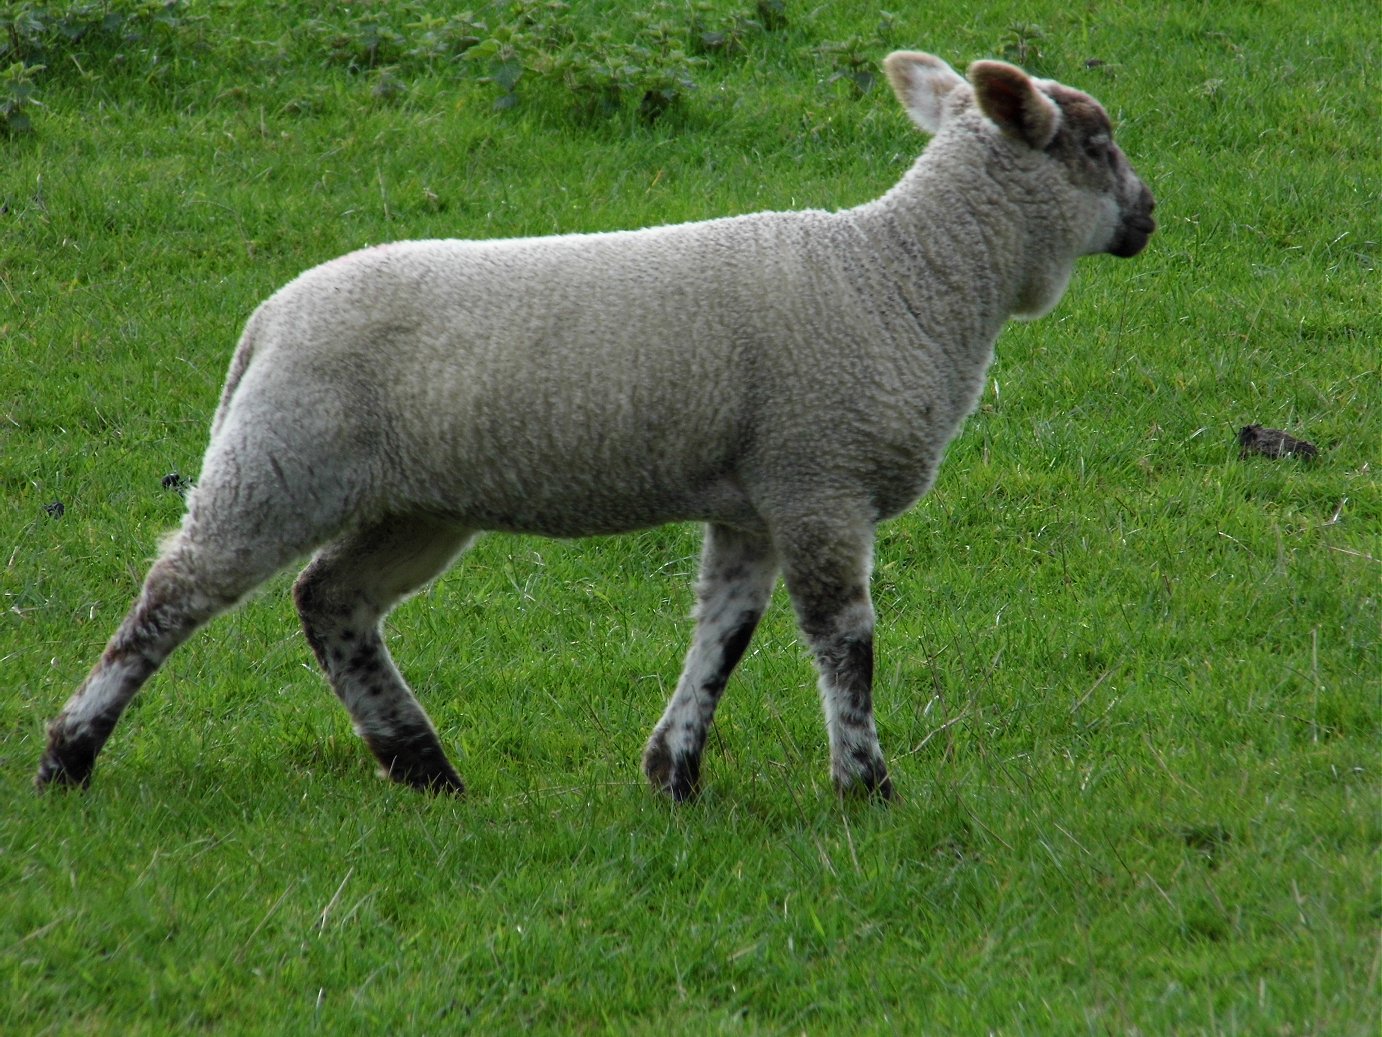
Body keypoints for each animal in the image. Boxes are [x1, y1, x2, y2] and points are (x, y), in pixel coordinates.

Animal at [32, 52, 1155, 801]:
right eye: (1097, 143)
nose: (1149, 216)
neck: (907, 276)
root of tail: (264, 322)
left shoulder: (755, 499)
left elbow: (723, 632)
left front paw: (674, 772)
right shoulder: (818, 477)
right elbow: (845, 641)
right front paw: (864, 785)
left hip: (412, 499)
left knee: (331, 599)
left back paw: (422, 763)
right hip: (281, 462)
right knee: (175, 592)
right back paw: (68, 755)